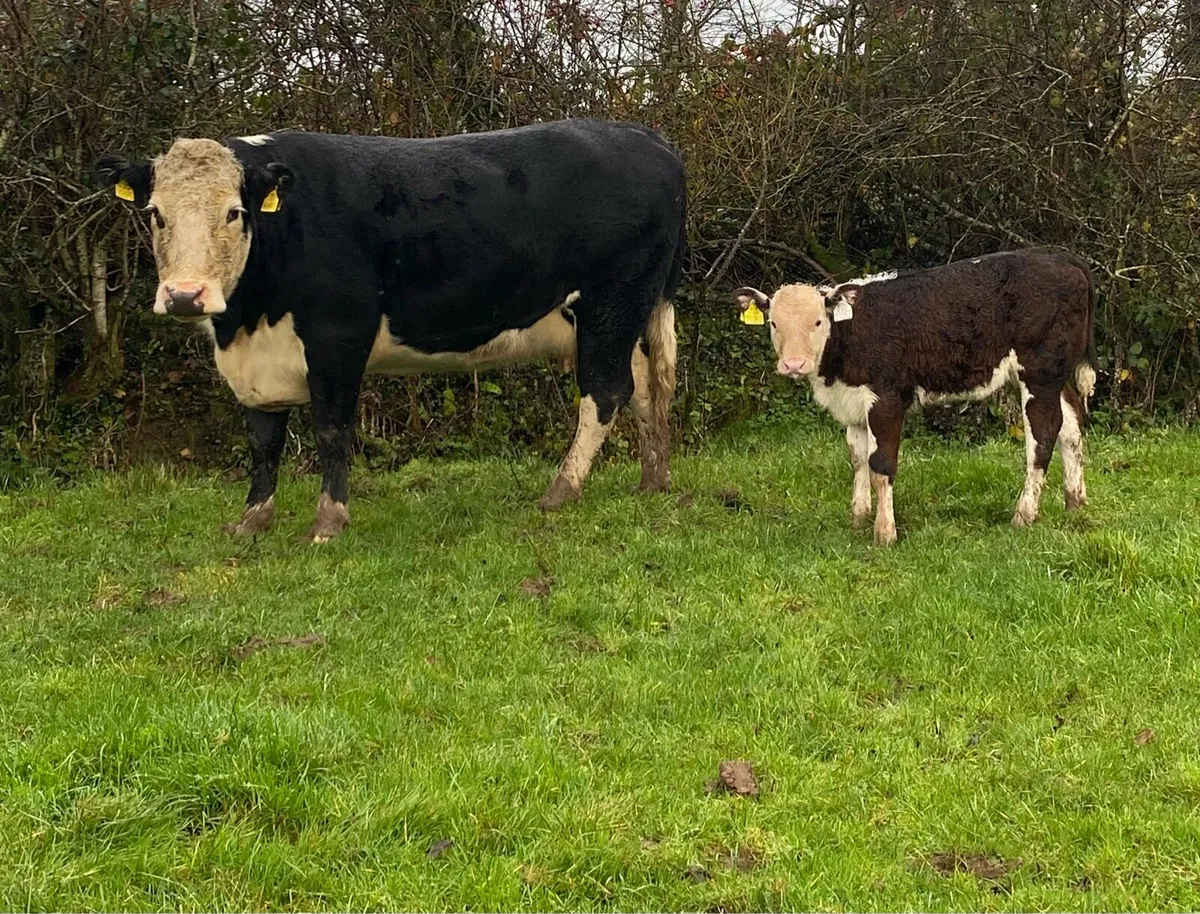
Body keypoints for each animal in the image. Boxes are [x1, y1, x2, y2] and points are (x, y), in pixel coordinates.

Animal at [94, 119, 686, 541]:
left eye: (235, 212)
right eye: (156, 213)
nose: (185, 295)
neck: (247, 320)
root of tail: (646, 137)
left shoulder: (337, 337)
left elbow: (331, 430)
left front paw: (328, 522)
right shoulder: (253, 364)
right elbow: (263, 441)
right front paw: (252, 521)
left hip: (611, 302)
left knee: (606, 392)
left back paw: (561, 490)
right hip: (623, 314)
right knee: (643, 385)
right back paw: (653, 479)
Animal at [734, 250, 1097, 545]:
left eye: (818, 321)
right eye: (774, 323)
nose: (794, 363)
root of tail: (1060, 256)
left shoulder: (887, 399)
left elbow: (881, 465)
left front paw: (884, 532)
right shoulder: (852, 404)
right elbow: (858, 460)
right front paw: (859, 517)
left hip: (1040, 372)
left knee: (1044, 435)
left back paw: (1024, 514)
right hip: (1056, 375)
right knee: (1071, 426)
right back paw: (1075, 503)